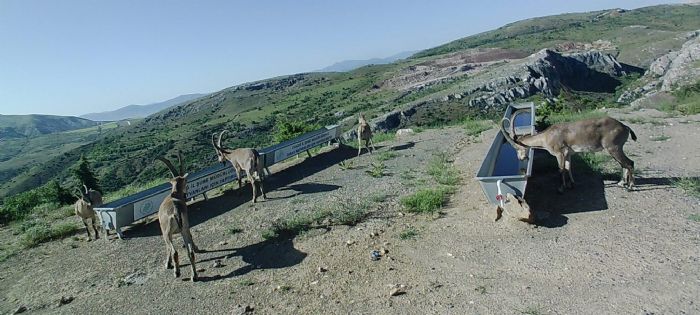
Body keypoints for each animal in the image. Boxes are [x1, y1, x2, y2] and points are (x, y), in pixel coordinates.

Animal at [153, 152, 197, 282]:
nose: (186, 193)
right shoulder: (186, 226)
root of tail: (176, 210)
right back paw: (194, 275)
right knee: (190, 252)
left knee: (175, 252)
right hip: (184, 228)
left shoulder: (164, 232)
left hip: (168, 232)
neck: (175, 195)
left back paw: (177, 272)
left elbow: (167, 247)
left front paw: (167, 264)